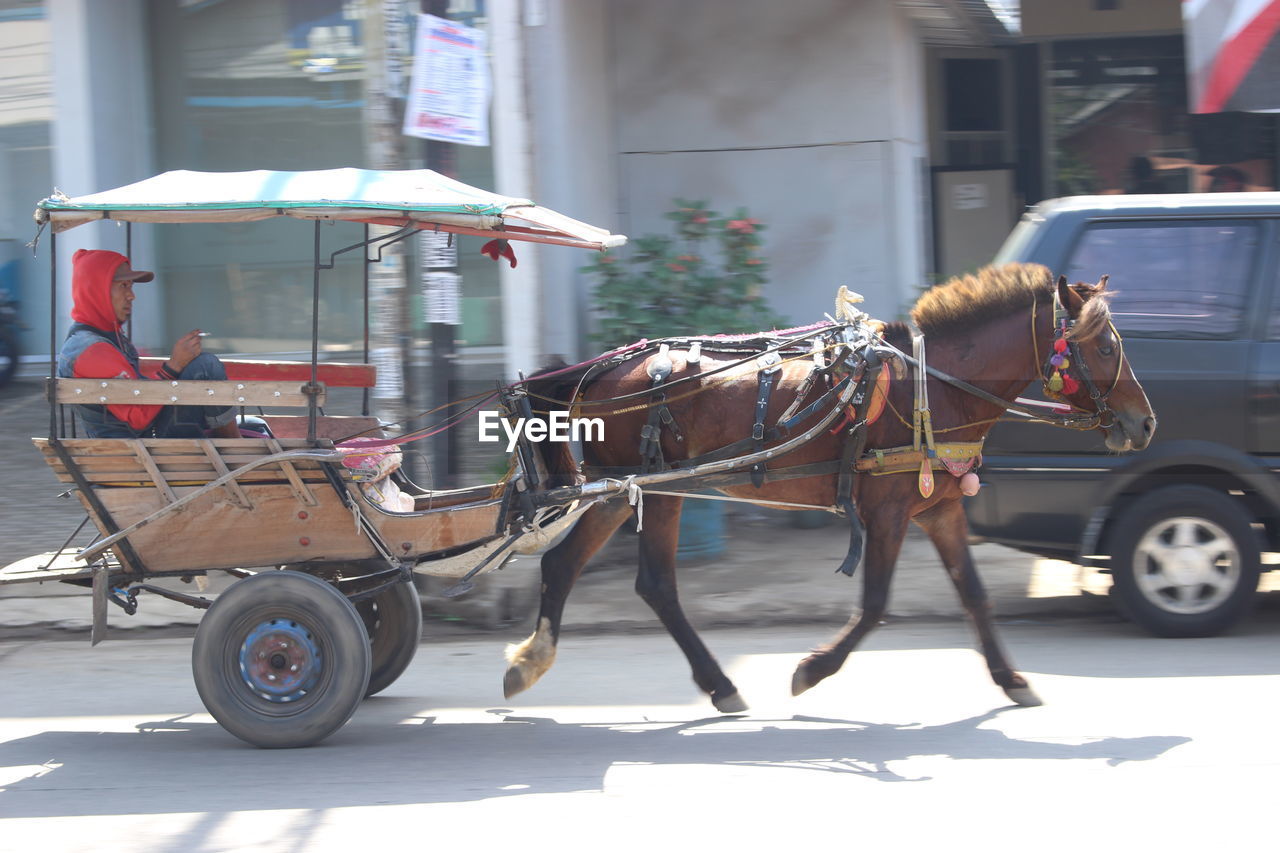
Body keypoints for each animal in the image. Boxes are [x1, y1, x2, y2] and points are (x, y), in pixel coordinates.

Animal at [501, 263, 1162, 712]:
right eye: (1107, 344)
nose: (1145, 423)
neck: (934, 388)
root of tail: (597, 370)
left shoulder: (941, 509)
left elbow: (974, 595)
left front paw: (1012, 679)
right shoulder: (888, 511)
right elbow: (874, 606)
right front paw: (813, 670)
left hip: (629, 490)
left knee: (584, 569)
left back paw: (546, 662)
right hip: (648, 489)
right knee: (642, 581)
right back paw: (707, 681)